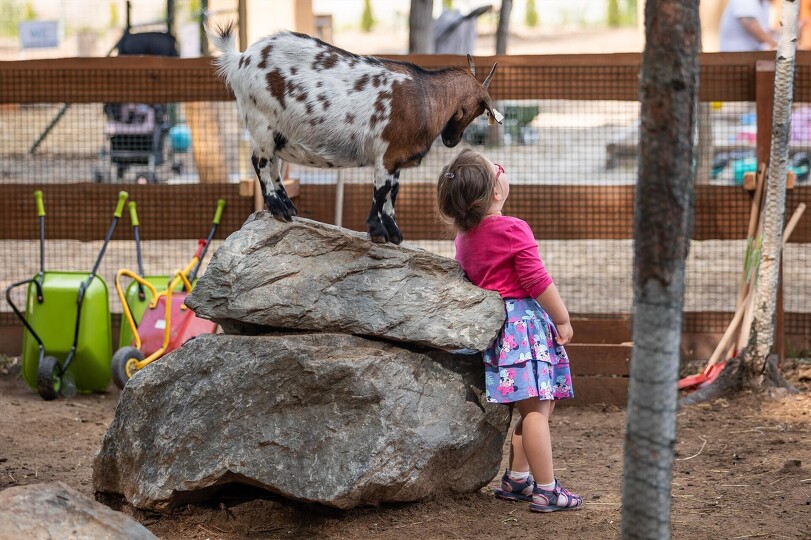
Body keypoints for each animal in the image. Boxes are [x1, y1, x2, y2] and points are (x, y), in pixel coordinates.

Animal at [208, 24, 502, 244]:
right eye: (478, 109)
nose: (451, 141)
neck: (426, 97)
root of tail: (239, 59)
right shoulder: (386, 154)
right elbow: (381, 192)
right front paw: (377, 231)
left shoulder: (396, 158)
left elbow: (393, 193)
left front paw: (394, 232)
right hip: (261, 122)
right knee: (259, 162)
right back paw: (277, 208)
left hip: (278, 132)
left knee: (274, 165)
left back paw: (288, 207)